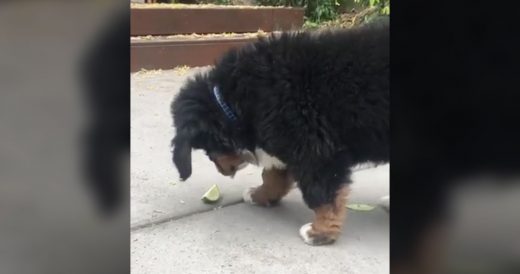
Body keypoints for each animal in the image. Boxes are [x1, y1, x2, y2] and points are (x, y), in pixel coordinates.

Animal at [170, 23, 386, 245]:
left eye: (206, 149)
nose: (221, 170)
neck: (235, 102)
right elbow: (273, 176)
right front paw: (259, 194)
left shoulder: (313, 149)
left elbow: (322, 193)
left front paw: (321, 231)